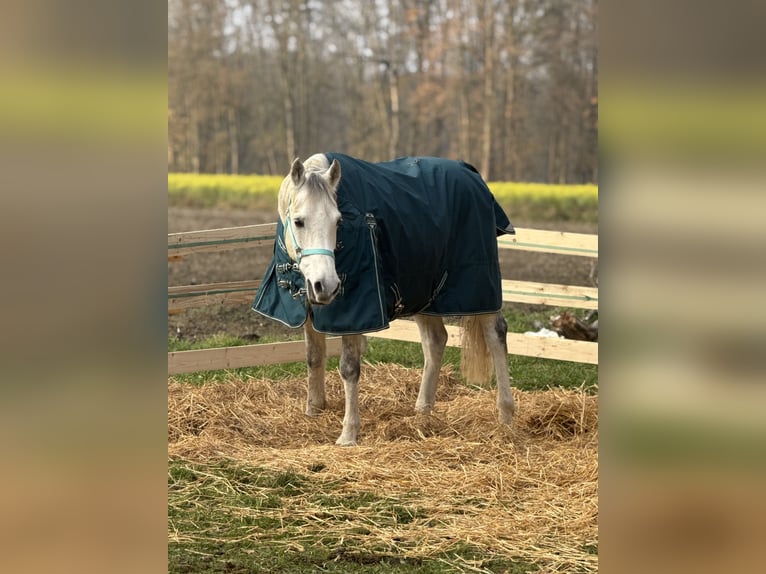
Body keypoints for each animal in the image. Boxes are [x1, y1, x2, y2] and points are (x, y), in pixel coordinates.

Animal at [253, 152, 516, 446]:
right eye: (298, 221)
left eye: (338, 222)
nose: (328, 286)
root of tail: (472, 176)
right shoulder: (309, 307)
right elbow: (313, 357)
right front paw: (313, 411)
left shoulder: (355, 315)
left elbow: (349, 368)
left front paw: (348, 433)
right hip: (424, 291)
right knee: (435, 341)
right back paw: (422, 411)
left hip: (480, 286)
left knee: (496, 335)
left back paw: (505, 415)